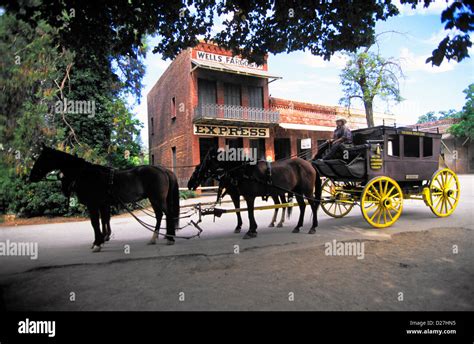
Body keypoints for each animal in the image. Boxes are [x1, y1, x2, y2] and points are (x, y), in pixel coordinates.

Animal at [29, 144, 181, 251]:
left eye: (42, 158)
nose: (31, 176)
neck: (84, 174)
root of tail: (162, 170)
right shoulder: (102, 204)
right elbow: (104, 220)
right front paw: (101, 240)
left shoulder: (93, 204)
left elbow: (95, 223)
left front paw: (97, 243)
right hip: (154, 199)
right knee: (160, 216)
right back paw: (155, 238)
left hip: (157, 199)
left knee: (167, 214)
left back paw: (170, 238)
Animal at [187, 148, 320, 239]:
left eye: (204, 163)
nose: (189, 184)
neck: (243, 171)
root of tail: (309, 164)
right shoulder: (244, 196)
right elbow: (246, 212)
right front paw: (252, 229)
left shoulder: (248, 196)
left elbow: (249, 213)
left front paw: (250, 230)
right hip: (297, 191)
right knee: (302, 206)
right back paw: (297, 226)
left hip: (307, 191)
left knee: (313, 205)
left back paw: (313, 227)